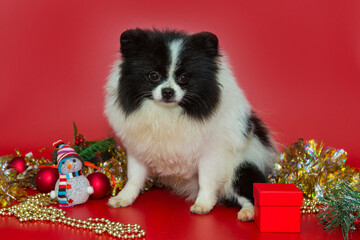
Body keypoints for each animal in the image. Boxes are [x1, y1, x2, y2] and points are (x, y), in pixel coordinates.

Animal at [104, 28, 278, 221]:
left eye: (184, 78)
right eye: (153, 76)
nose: (168, 91)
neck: (168, 112)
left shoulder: (211, 153)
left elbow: (206, 180)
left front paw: (203, 204)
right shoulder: (138, 150)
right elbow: (134, 177)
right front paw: (123, 198)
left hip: (241, 168)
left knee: (248, 193)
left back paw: (248, 212)